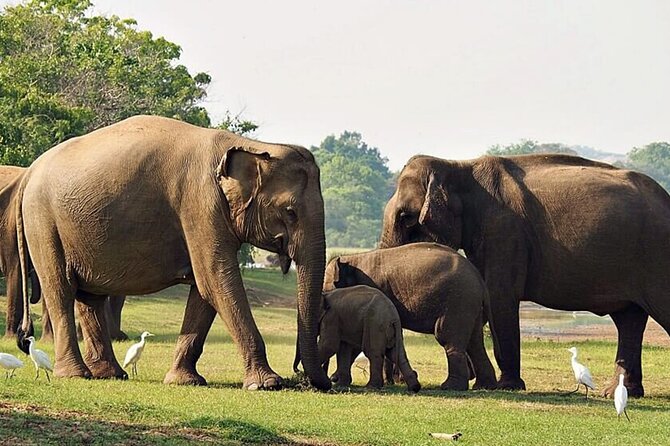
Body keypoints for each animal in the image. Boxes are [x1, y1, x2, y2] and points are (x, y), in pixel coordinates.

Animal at [16, 115, 331, 390]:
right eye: (290, 212)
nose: (316, 382)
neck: (250, 144)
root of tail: (29, 173)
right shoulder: (200, 203)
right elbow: (216, 279)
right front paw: (266, 384)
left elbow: (204, 289)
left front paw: (185, 381)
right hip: (43, 223)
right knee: (60, 289)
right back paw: (75, 375)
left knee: (89, 296)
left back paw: (110, 375)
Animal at [323, 243, 497, 391]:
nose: (330, 378)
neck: (352, 259)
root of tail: (480, 282)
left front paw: (335, 379)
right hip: (470, 304)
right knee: (475, 343)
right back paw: (484, 386)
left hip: (459, 301)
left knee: (447, 337)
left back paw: (450, 387)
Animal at [381, 153, 670, 397]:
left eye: (406, 216)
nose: (399, 380)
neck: (459, 165)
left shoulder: (505, 233)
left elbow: (499, 298)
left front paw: (507, 387)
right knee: (629, 319)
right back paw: (621, 393)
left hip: (656, 258)